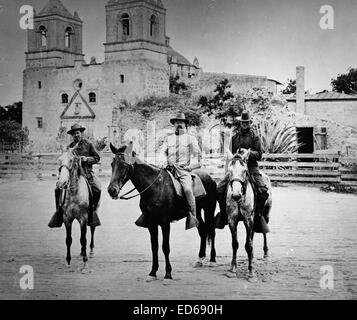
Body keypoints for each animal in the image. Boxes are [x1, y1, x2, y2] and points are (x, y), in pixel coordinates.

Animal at [107, 142, 216, 282]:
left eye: (125, 165)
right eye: (112, 164)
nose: (112, 190)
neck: (155, 187)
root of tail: (210, 178)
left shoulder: (165, 222)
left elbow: (165, 247)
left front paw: (168, 274)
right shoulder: (151, 223)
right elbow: (154, 246)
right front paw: (153, 272)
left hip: (209, 209)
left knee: (211, 231)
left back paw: (212, 260)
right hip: (196, 212)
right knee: (202, 230)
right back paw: (200, 259)